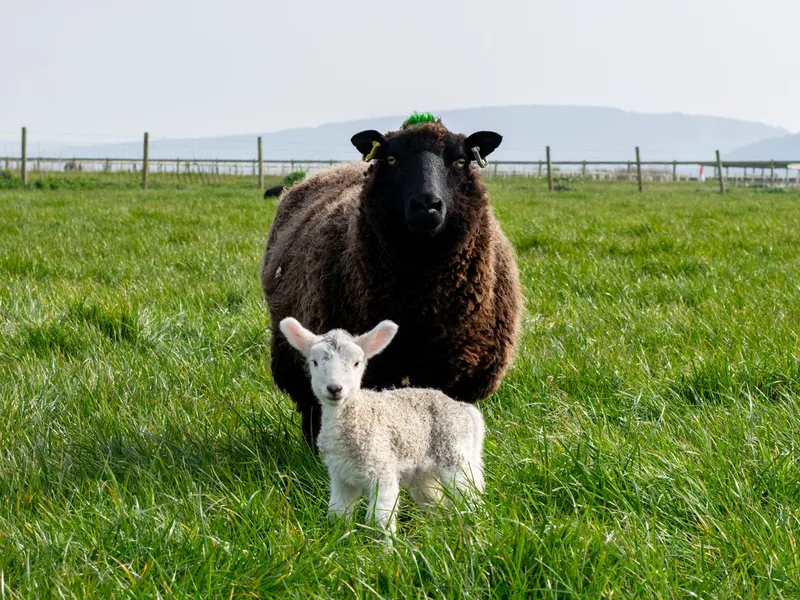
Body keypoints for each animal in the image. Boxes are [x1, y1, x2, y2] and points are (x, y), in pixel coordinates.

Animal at [261, 114, 522, 448]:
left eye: (461, 161)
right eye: (392, 158)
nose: (427, 204)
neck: (422, 300)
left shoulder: (456, 370)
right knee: (311, 404)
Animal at [279, 316, 485, 536]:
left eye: (357, 363)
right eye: (315, 362)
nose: (335, 389)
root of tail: (465, 409)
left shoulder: (382, 470)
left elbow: (380, 519)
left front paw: (385, 544)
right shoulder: (340, 477)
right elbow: (338, 512)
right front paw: (340, 537)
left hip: (455, 455)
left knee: (469, 494)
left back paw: (474, 527)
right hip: (423, 472)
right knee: (436, 502)